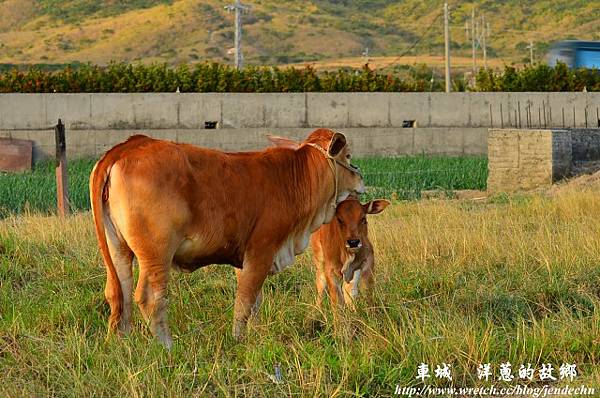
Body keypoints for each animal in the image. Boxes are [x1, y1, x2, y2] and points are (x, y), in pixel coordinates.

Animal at [88, 129, 360, 346]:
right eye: (348, 156)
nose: (360, 178)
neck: (296, 176)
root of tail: (130, 145)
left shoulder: (247, 259)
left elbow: (254, 301)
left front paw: (256, 337)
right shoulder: (261, 251)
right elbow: (245, 302)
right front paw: (237, 339)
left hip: (118, 249)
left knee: (119, 293)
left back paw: (121, 342)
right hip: (156, 254)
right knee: (149, 298)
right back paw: (166, 346)